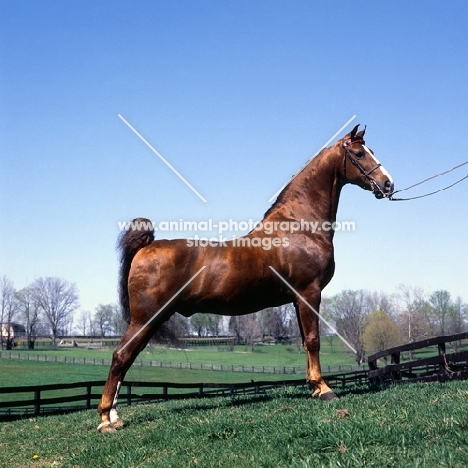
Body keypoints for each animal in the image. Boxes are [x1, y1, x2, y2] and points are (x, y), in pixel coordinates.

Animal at [97, 124, 394, 432]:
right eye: (359, 153)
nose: (388, 184)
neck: (299, 226)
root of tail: (147, 246)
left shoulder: (297, 300)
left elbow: (304, 341)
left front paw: (314, 387)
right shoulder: (308, 293)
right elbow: (313, 340)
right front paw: (324, 390)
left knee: (126, 358)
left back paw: (115, 416)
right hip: (147, 318)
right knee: (121, 356)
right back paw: (106, 419)